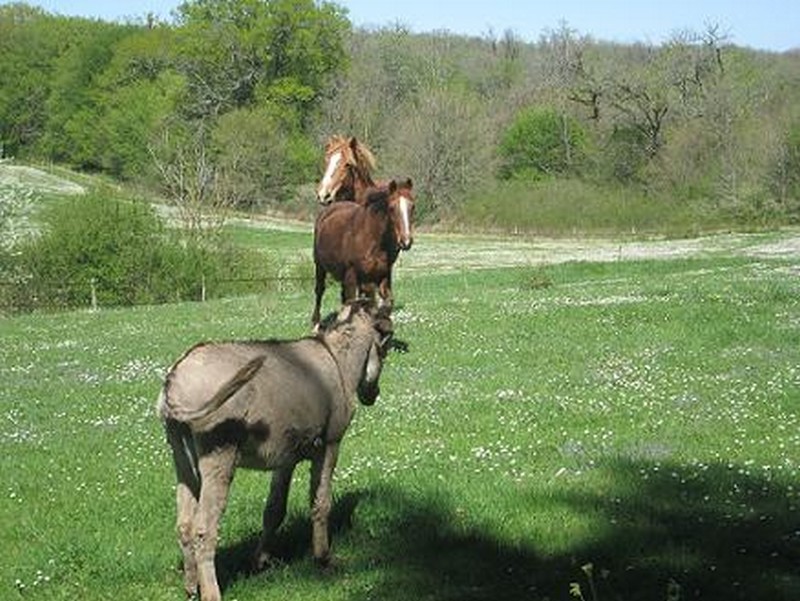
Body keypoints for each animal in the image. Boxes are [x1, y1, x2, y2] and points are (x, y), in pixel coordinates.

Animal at [310, 178, 416, 328]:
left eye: (413, 207)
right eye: (391, 208)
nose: (406, 241)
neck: (373, 238)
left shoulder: (383, 275)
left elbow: (385, 303)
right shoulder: (352, 275)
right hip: (320, 266)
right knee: (320, 291)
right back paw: (316, 324)